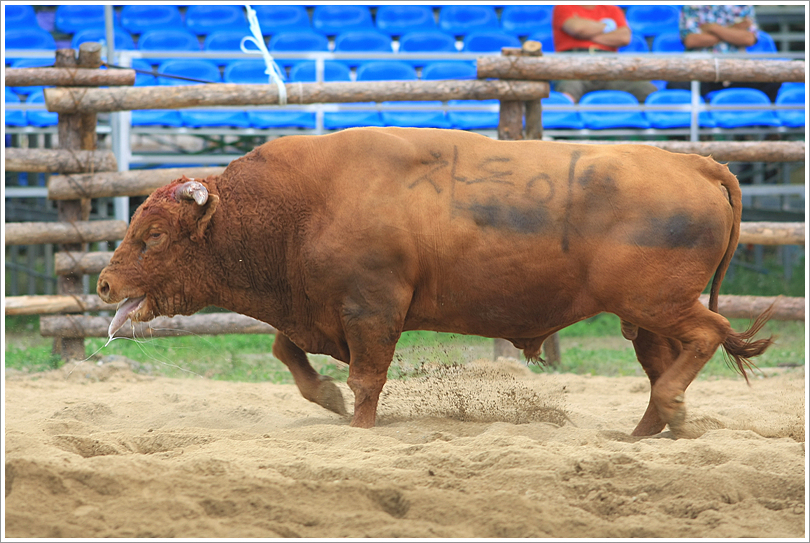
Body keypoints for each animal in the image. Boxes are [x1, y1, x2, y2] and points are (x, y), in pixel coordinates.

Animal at [96, 127, 772, 438]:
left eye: (153, 236)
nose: (103, 285)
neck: (302, 204)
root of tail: (693, 163)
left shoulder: (372, 310)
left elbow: (367, 377)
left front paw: (358, 426)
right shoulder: (315, 309)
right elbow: (288, 352)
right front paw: (329, 399)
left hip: (657, 302)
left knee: (705, 338)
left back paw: (674, 414)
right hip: (644, 315)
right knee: (664, 363)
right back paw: (644, 435)